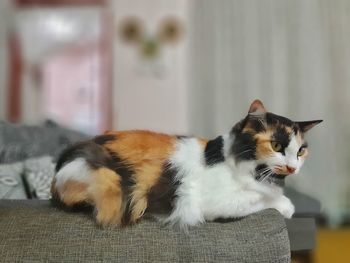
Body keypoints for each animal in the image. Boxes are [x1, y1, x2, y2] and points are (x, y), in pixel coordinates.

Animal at [50, 100, 322, 230]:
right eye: (276, 146)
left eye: (301, 151)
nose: (293, 167)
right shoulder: (222, 202)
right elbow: (264, 200)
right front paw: (286, 206)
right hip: (105, 179)